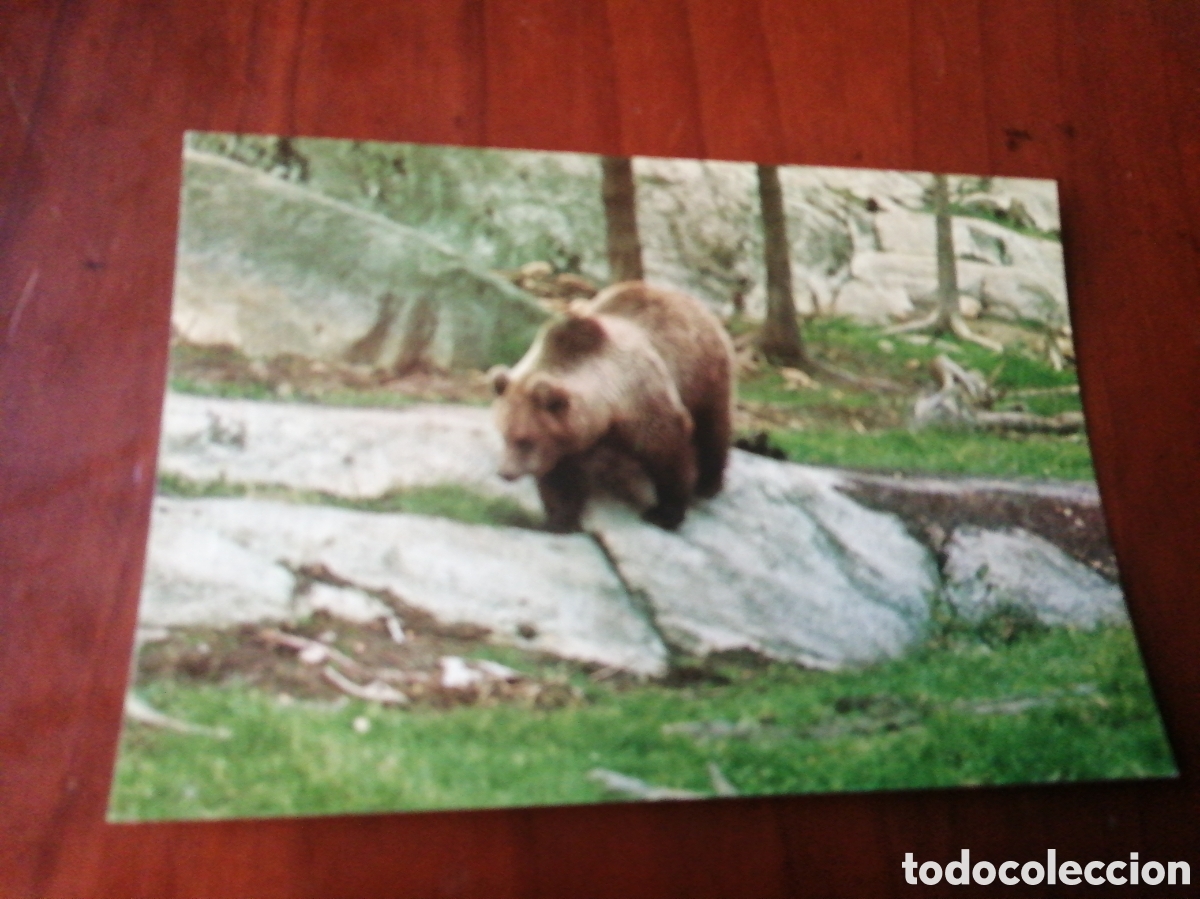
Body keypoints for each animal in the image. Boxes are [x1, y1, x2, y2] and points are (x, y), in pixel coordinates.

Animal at [490, 280, 734, 532]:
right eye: (504, 434)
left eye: (525, 439)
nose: (505, 472)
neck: (607, 412)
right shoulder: (567, 437)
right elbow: (560, 478)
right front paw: (559, 519)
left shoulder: (641, 400)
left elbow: (668, 451)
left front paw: (664, 513)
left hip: (702, 371)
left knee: (712, 427)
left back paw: (708, 483)